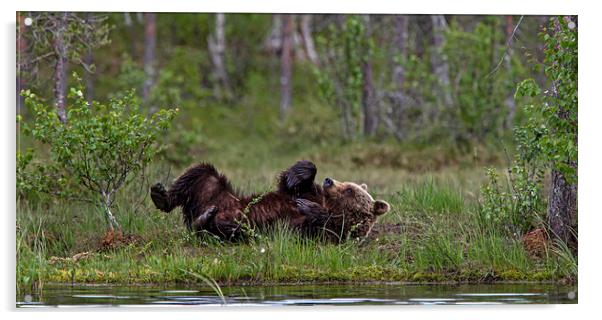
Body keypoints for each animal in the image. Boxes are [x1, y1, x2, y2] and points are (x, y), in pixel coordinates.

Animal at [150, 161, 390, 241]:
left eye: (349, 189)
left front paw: (310, 209)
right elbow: (291, 185)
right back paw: (160, 195)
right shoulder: (308, 192)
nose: (329, 180)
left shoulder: (327, 232)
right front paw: (300, 174)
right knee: (201, 172)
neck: (328, 203)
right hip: (215, 192)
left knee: (225, 228)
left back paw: (206, 218)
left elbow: (315, 227)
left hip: (241, 224)